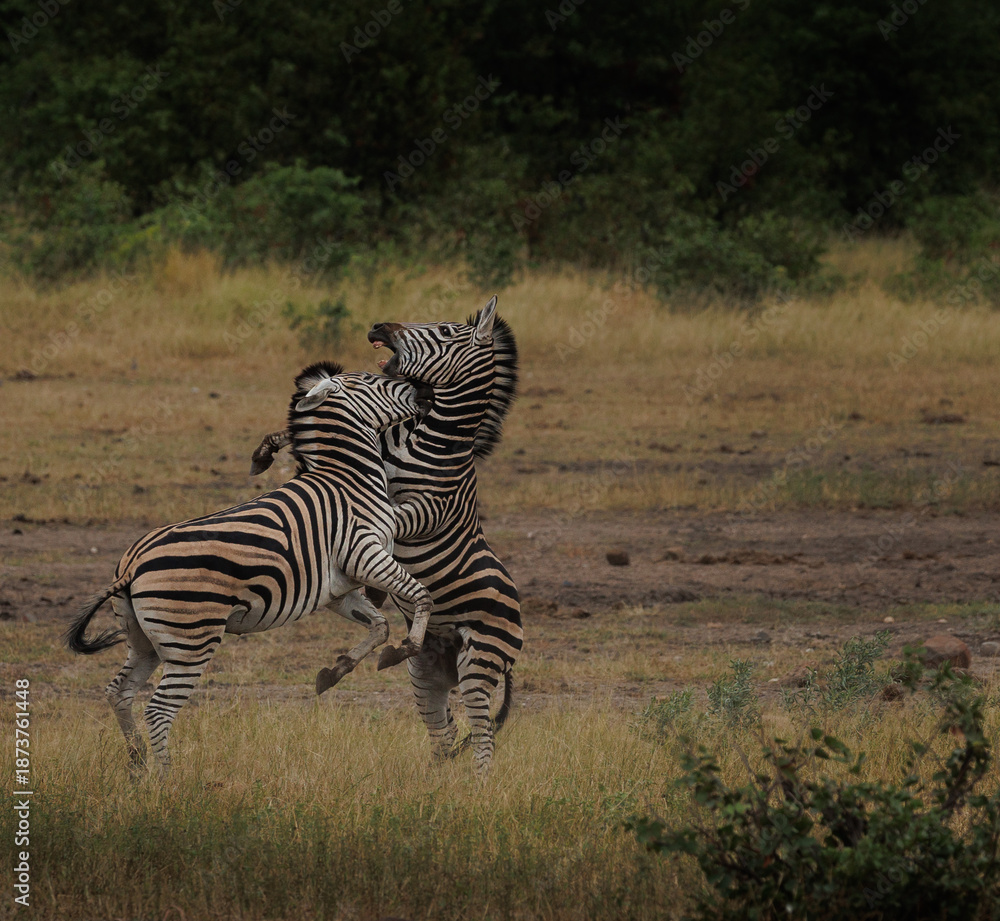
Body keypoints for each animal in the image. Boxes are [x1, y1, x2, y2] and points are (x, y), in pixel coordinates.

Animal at [64, 363, 434, 774]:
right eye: (369, 381)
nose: (423, 389)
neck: (348, 480)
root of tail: (131, 566)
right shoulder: (364, 553)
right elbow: (421, 596)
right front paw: (407, 648)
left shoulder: (337, 587)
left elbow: (379, 625)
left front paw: (335, 671)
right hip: (191, 641)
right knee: (158, 710)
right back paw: (166, 778)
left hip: (143, 639)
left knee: (120, 692)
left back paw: (137, 764)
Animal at [251, 296, 522, 776]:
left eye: (446, 331)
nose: (378, 325)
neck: (429, 440)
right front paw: (272, 447)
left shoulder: (428, 509)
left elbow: (386, 520)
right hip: (428, 671)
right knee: (445, 732)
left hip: (479, 662)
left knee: (483, 731)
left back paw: (480, 786)